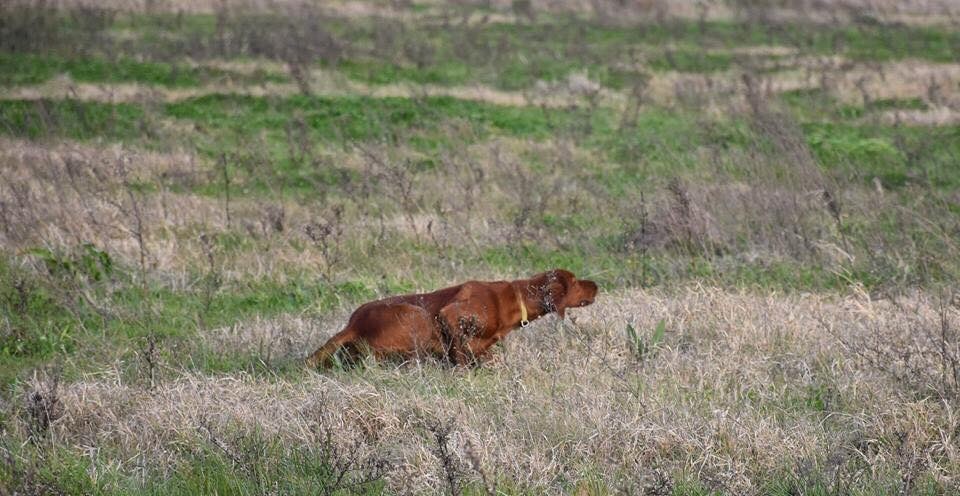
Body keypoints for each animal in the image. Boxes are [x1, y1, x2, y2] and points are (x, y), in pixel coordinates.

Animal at [308, 268, 596, 368]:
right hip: (415, 315)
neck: (514, 298)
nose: (597, 285)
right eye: (574, 282)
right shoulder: (450, 315)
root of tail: (353, 324)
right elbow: (460, 351)